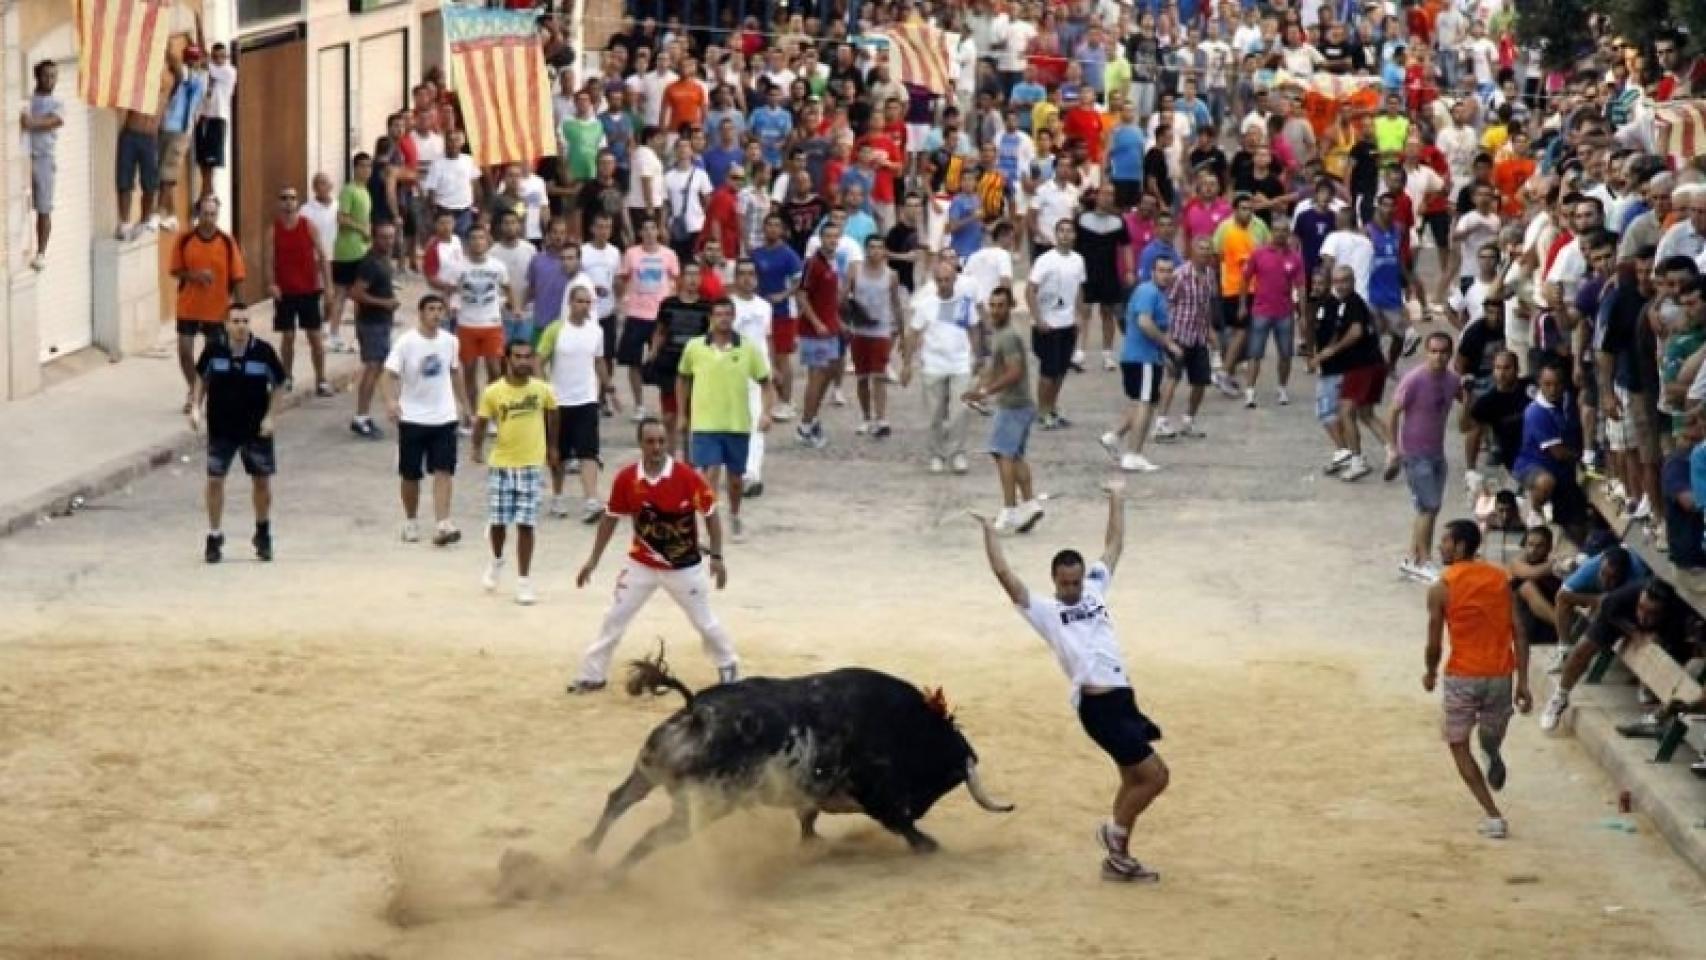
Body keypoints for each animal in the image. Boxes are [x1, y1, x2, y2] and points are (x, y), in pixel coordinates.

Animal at [586, 654, 1009, 873]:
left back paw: (583, 856)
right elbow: (900, 825)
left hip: (648, 770)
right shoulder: (877, 796)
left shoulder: (813, 793)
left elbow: (808, 818)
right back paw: (612, 877)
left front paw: (811, 844)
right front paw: (930, 846)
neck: (904, 725)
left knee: (617, 801)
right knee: (652, 836)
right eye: (948, 774)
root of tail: (697, 712)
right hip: (702, 806)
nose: (919, 808)